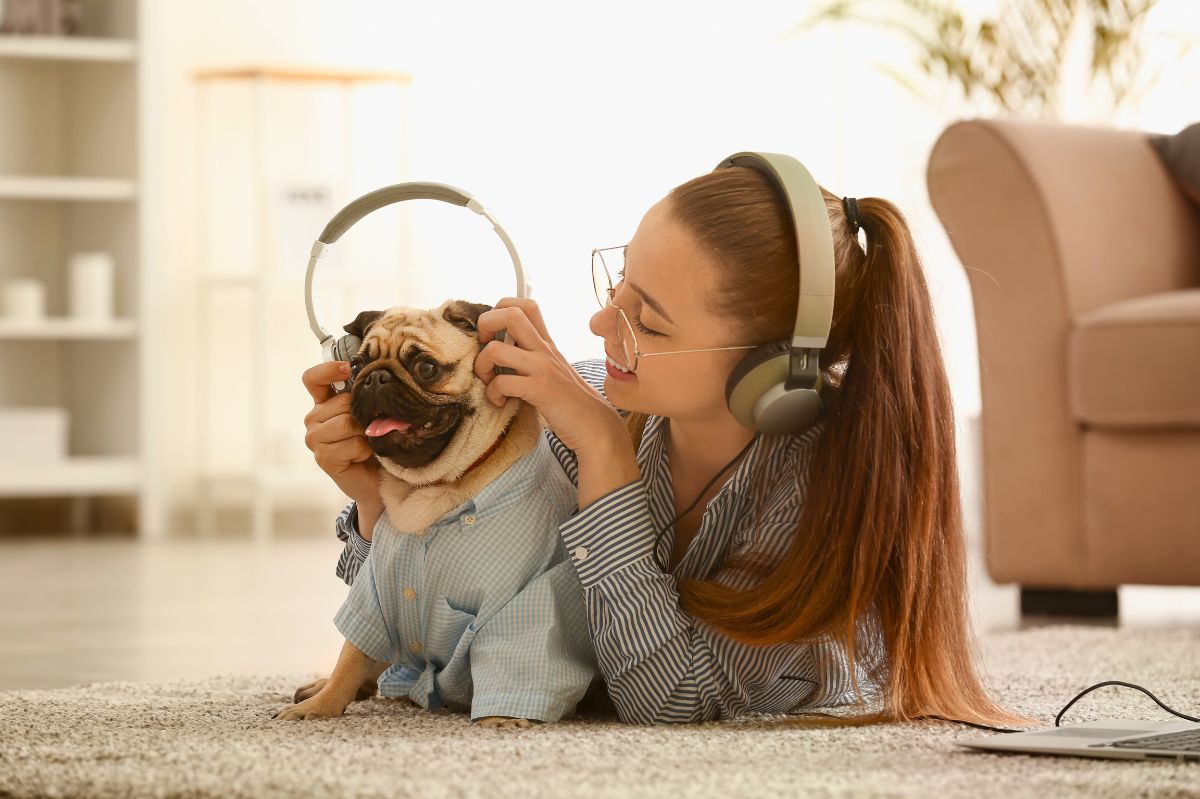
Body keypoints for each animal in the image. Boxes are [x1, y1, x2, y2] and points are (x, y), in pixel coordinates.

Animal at [274, 298, 597, 729]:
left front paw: (501, 719)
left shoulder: (526, 598)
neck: (430, 490)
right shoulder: (374, 591)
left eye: (425, 368)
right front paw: (322, 705)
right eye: (356, 366)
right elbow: (351, 656)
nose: (374, 379)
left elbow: (516, 657)